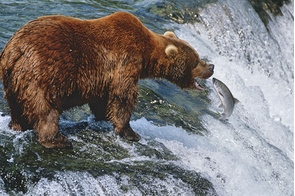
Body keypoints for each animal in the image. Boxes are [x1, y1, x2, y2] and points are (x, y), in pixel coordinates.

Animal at [0, 11, 214, 148]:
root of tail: (14, 49)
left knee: (17, 106)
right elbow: (123, 96)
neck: (146, 52)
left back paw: (17, 126)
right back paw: (57, 140)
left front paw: (103, 117)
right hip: (43, 73)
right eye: (196, 61)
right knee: (46, 109)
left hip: (13, 79)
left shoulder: (102, 77)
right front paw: (130, 132)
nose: (211, 67)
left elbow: (102, 99)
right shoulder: (125, 60)